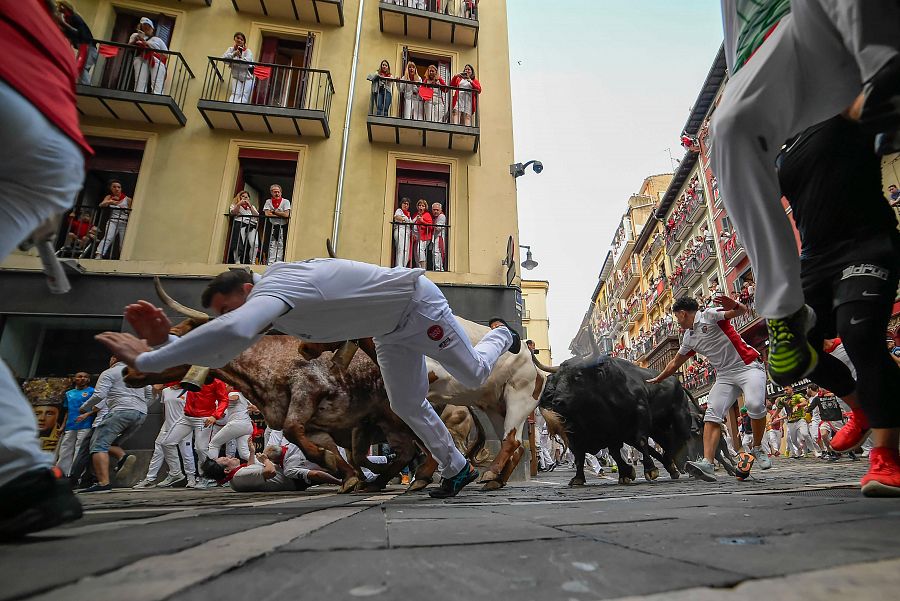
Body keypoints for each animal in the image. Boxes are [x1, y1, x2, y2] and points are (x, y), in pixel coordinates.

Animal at [540, 354, 704, 486]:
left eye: (577, 376)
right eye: (556, 380)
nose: (556, 401)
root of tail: (678, 383)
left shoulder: (638, 414)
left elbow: (639, 441)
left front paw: (649, 470)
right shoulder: (586, 433)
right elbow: (583, 455)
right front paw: (579, 478)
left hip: (679, 417)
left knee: (683, 438)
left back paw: (686, 465)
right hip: (655, 429)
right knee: (665, 444)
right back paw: (672, 466)